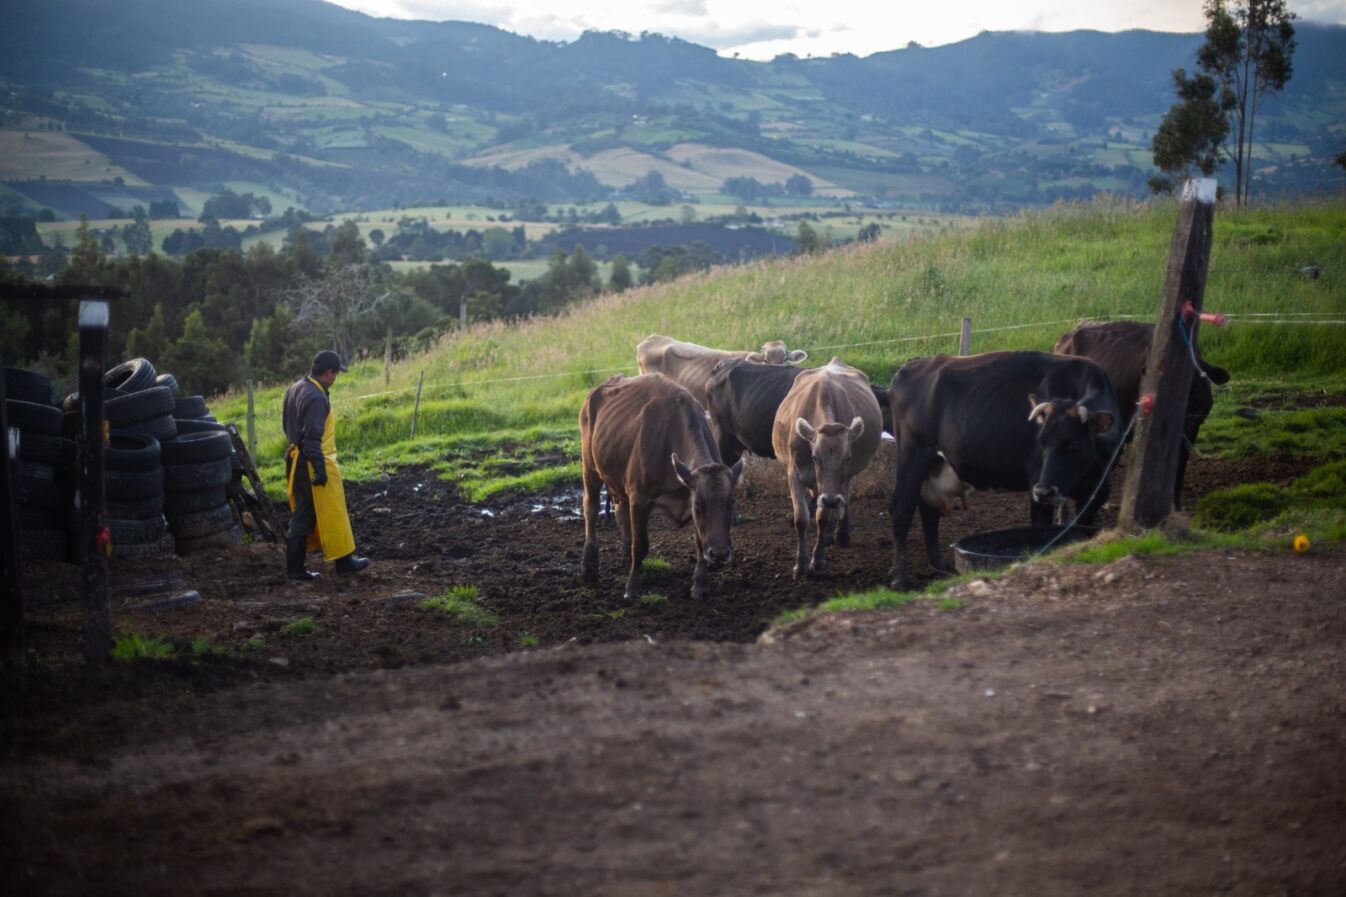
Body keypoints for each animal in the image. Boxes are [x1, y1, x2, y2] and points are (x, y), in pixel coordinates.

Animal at [578, 374, 748, 598]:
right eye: (699, 504)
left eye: (731, 502)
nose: (720, 554)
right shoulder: (639, 498)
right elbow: (641, 545)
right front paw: (632, 588)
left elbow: (699, 542)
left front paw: (700, 584)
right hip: (590, 467)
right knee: (591, 507)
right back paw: (589, 566)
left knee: (620, 512)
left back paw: (625, 558)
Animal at [775, 352, 888, 576]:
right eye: (814, 457)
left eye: (847, 458)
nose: (830, 500)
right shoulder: (795, 473)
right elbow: (801, 518)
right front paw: (801, 564)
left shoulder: (837, 481)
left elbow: (823, 518)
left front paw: (818, 560)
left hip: (848, 479)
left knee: (845, 497)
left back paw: (840, 533)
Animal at [888, 350, 1119, 587]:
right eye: (1041, 441)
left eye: (1072, 444)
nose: (1044, 491)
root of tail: (911, 366)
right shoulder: (1036, 478)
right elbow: (1039, 528)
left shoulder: (1096, 490)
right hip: (913, 453)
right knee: (902, 508)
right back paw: (900, 578)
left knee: (928, 511)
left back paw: (940, 566)